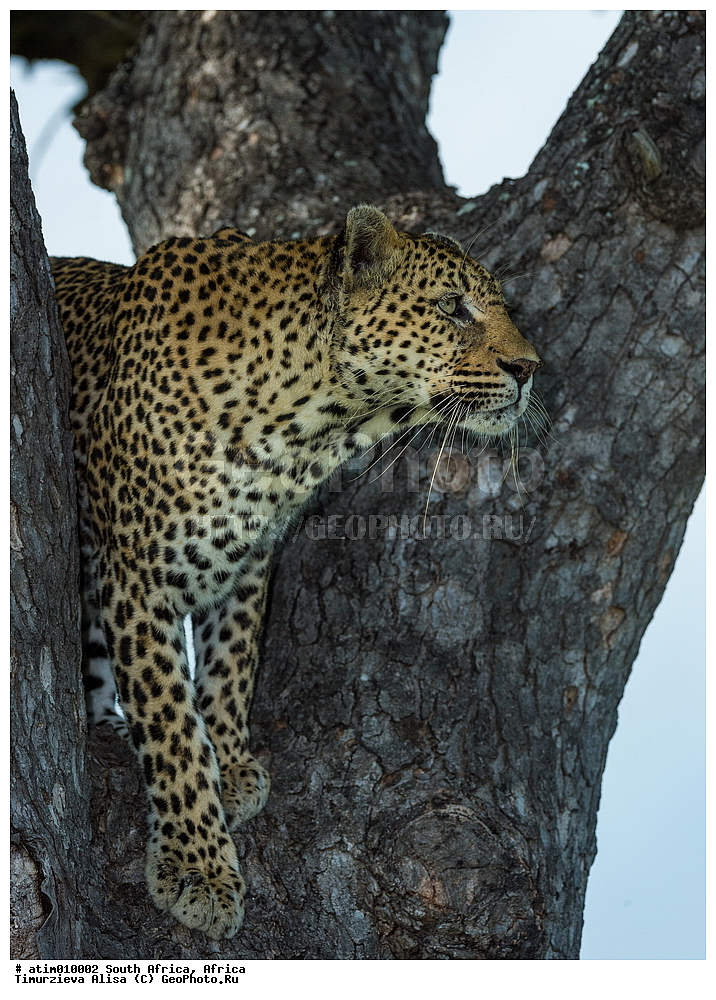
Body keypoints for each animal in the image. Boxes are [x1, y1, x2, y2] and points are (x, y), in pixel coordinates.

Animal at [50, 205, 541, 940]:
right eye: (451, 308)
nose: (530, 368)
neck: (306, 428)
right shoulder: (138, 576)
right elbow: (170, 726)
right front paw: (198, 867)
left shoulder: (251, 557)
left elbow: (231, 666)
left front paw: (229, 765)